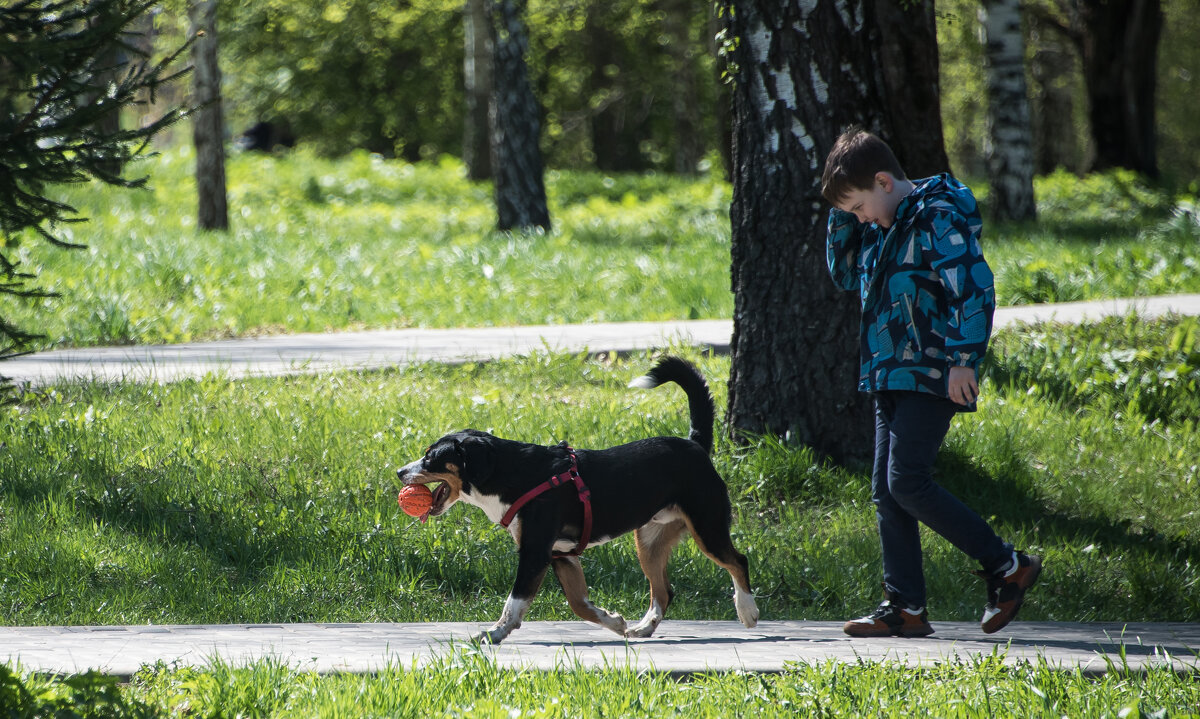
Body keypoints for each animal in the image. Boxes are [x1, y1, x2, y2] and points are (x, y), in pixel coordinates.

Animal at [396, 357, 758, 643]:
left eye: (431, 458)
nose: (400, 472)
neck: (516, 475)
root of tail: (694, 444)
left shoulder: (535, 553)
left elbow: (515, 602)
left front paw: (496, 632)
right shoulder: (561, 555)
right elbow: (579, 604)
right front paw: (614, 621)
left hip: (707, 527)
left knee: (738, 561)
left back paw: (748, 611)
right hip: (649, 542)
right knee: (663, 591)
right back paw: (642, 628)